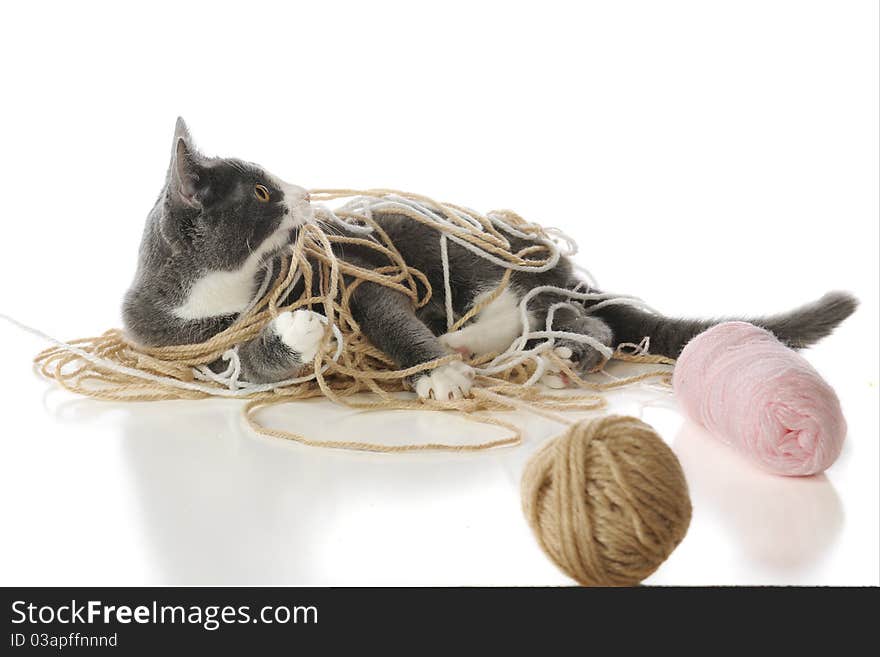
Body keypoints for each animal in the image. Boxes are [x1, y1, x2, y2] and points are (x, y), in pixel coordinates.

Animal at [120, 119, 856, 400]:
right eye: (262, 193)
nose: (303, 194)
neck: (228, 289)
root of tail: (565, 272)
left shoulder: (361, 273)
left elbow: (387, 315)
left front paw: (435, 376)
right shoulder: (180, 343)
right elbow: (248, 366)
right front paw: (300, 331)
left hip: (469, 252)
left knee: (589, 324)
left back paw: (536, 353)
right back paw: (475, 343)